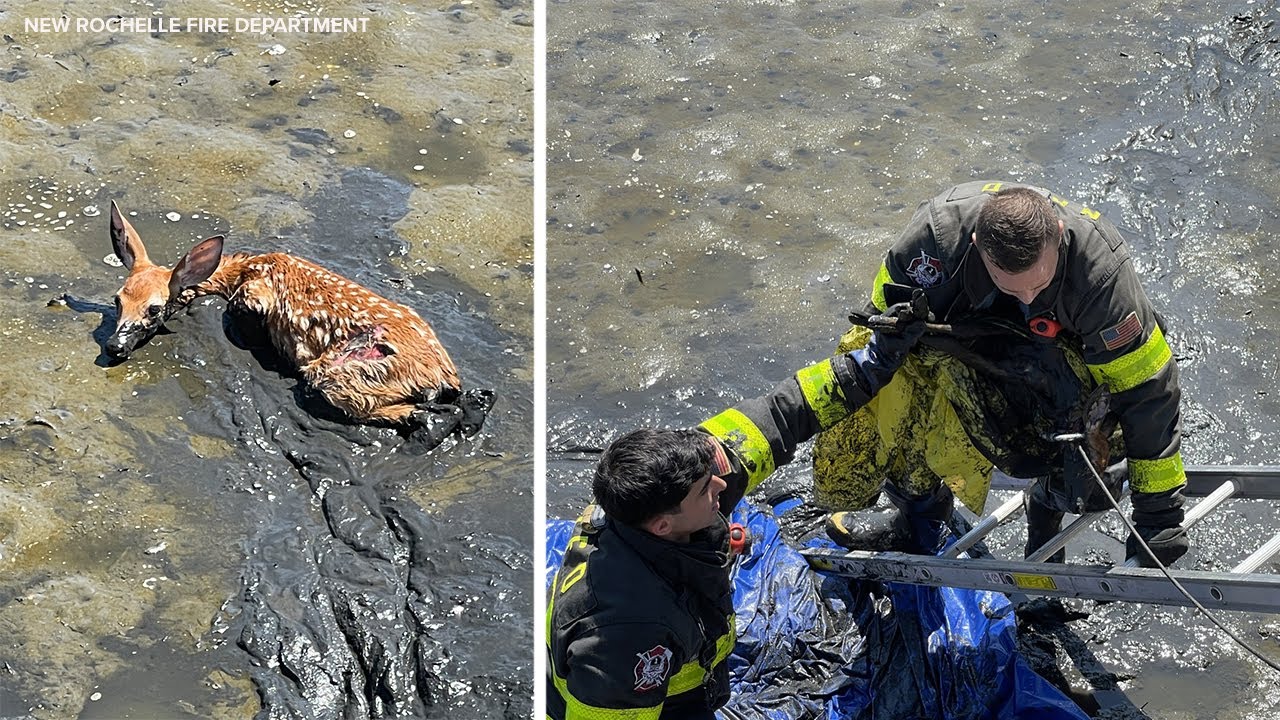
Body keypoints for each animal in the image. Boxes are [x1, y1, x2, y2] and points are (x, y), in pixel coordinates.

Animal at [104, 201, 491, 446]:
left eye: (154, 310)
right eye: (117, 299)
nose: (113, 346)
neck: (242, 270)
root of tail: (445, 376)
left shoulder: (254, 296)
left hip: (341, 374)